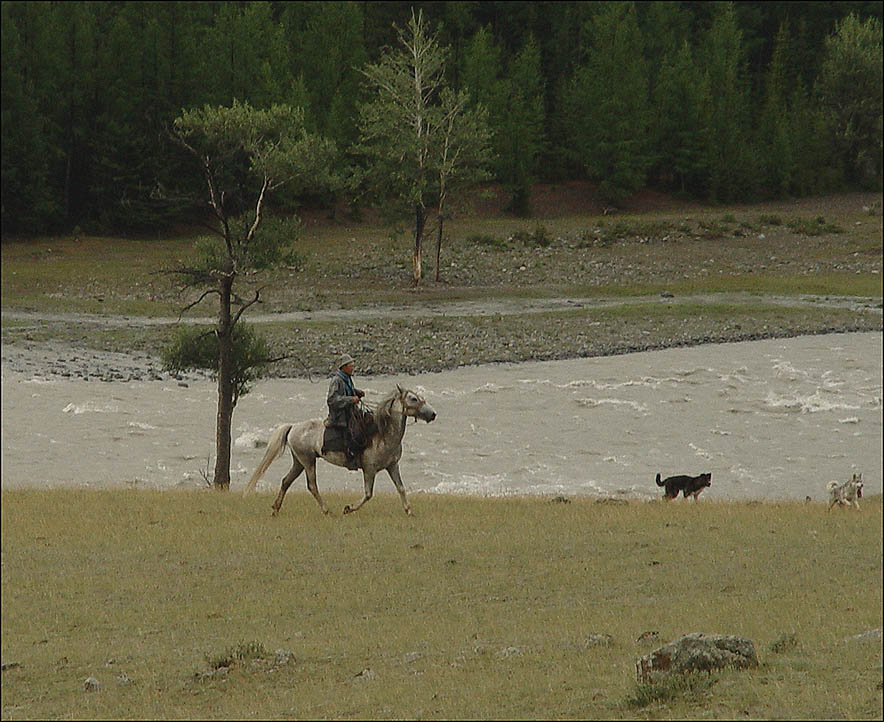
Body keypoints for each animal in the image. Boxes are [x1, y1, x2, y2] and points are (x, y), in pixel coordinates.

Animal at [242, 386, 436, 516]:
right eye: (413, 399)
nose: (433, 414)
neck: (382, 434)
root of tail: (293, 427)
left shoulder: (392, 466)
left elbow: (401, 488)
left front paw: (409, 511)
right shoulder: (369, 470)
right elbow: (368, 494)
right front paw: (348, 508)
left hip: (299, 461)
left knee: (286, 481)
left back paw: (276, 509)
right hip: (308, 461)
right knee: (312, 486)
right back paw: (327, 511)